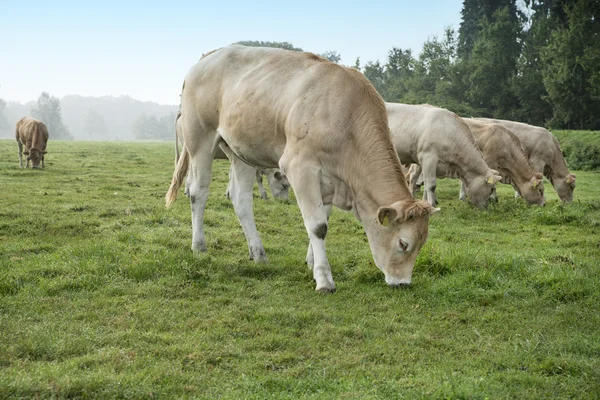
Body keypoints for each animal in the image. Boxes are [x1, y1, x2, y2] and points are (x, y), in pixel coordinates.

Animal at [166, 45, 438, 292]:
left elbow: (322, 219)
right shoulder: (300, 167)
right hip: (200, 139)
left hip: (240, 151)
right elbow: (318, 226)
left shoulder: (330, 180)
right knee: (198, 192)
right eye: (403, 243)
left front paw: (311, 261)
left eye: (422, 244)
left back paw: (258, 253)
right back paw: (199, 246)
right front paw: (324, 278)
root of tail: (210, 55)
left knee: (241, 200)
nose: (403, 283)